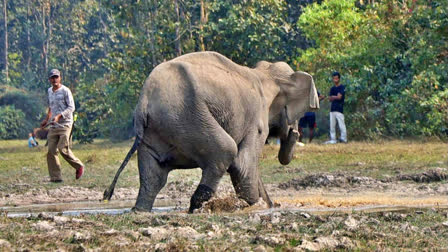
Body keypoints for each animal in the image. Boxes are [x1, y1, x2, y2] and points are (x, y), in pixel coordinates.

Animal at [102, 51, 318, 213]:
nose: (295, 133)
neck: (264, 73)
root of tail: (145, 100)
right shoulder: (256, 119)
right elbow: (243, 164)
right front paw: (256, 206)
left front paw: (268, 205)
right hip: (188, 117)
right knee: (225, 151)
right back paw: (195, 207)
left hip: (157, 129)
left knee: (154, 174)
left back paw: (140, 210)